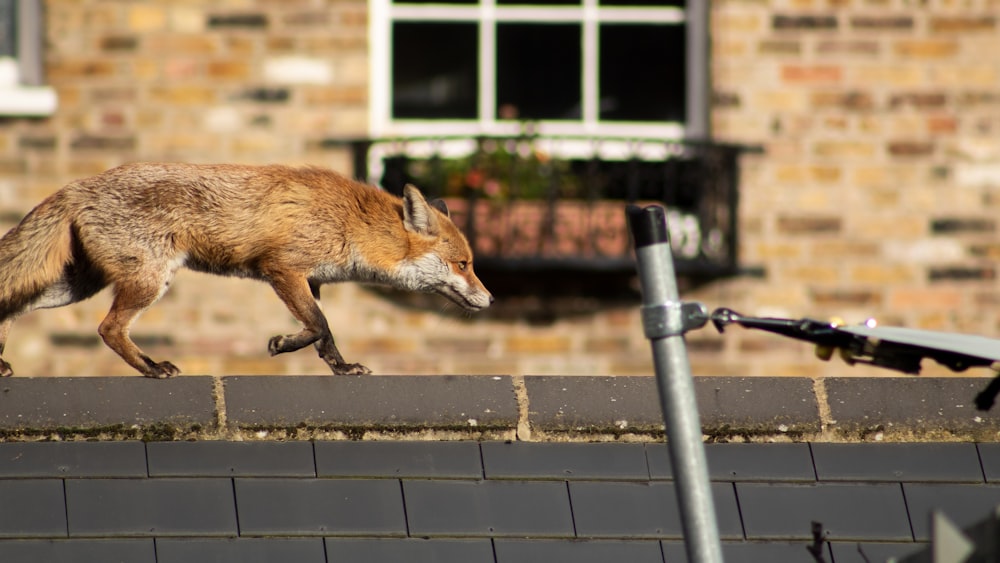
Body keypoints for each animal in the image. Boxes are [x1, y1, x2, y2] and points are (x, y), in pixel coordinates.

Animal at [0, 165, 492, 382]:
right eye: (464, 265)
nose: (490, 300)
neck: (352, 223)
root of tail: (76, 185)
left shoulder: (310, 280)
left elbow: (322, 332)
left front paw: (338, 365)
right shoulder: (283, 268)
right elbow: (319, 325)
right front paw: (287, 346)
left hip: (76, 285)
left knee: (11, 306)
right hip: (147, 282)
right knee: (108, 329)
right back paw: (152, 368)